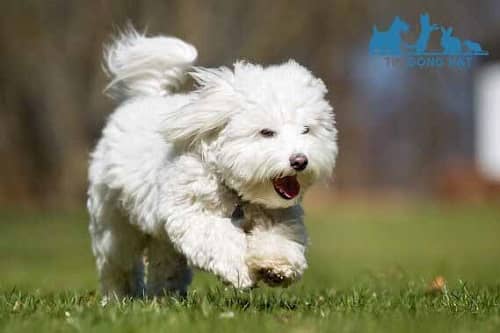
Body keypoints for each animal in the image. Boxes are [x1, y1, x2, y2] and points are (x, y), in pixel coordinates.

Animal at [88, 28, 338, 296]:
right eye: (266, 132)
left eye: (306, 130)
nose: (300, 161)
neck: (236, 192)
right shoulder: (191, 213)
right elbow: (220, 238)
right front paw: (240, 270)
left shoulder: (279, 216)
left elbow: (278, 239)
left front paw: (276, 266)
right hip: (114, 224)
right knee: (118, 263)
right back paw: (120, 295)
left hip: (159, 234)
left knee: (164, 261)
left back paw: (166, 295)